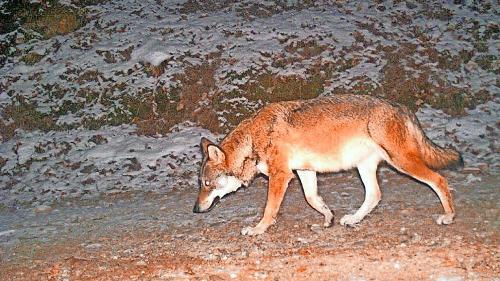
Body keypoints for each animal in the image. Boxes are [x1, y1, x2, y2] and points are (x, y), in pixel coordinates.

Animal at [190, 94, 460, 234]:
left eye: (206, 184)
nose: (195, 209)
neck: (252, 139)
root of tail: (402, 107)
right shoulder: (304, 171)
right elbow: (313, 199)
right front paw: (328, 217)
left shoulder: (281, 175)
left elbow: (269, 209)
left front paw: (258, 229)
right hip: (365, 167)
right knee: (375, 195)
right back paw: (353, 219)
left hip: (402, 162)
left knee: (440, 180)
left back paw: (448, 217)